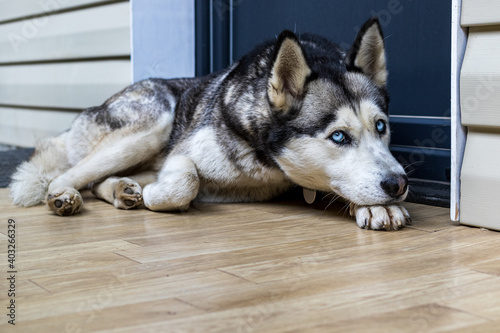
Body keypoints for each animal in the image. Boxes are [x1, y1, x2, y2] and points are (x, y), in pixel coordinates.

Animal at [9, 16, 412, 230]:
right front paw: (159, 197)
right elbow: (185, 181)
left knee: (96, 181)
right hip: (155, 123)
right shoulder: (182, 153)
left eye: (380, 127)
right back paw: (66, 196)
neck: (263, 159)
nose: (398, 184)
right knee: (66, 177)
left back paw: (122, 190)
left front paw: (375, 206)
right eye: (339, 136)